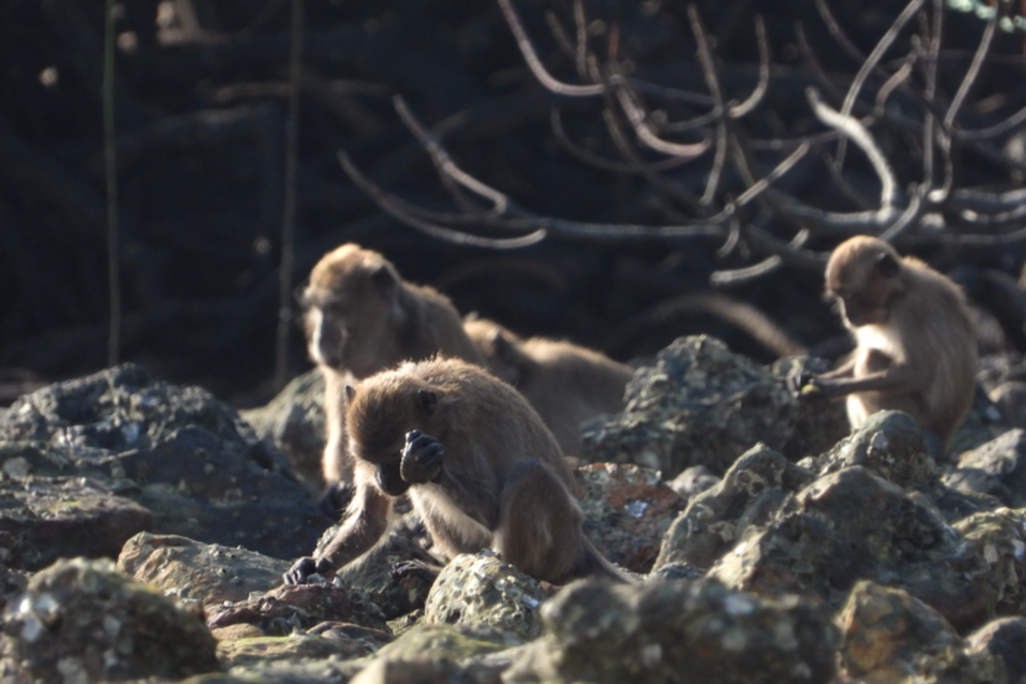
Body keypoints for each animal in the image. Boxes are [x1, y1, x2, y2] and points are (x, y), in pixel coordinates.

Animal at [283, 356, 628, 586]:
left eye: (393, 457)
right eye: (370, 459)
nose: (382, 479)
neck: (437, 419)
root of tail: (579, 545)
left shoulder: (461, 438)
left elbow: (491, 510)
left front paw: (420, 464)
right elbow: (372, 519)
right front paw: (315, 564)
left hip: (559, 540)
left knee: (529, 474)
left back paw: (513, 571)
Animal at [297, 243, 486, 495]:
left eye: (334, 308)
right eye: (317, 310)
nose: (319, 339)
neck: (385, 341)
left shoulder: (432, 330)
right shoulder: (339, 374)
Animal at [790, 236, 978, 451]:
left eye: (849, 295)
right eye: (839, 297)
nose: (846, 315)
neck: (899, 292)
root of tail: (945, 431)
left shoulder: (911, 309)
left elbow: (918, 372)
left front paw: (833, 388)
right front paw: (808, 377)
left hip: (917, 417)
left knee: (870, 358)